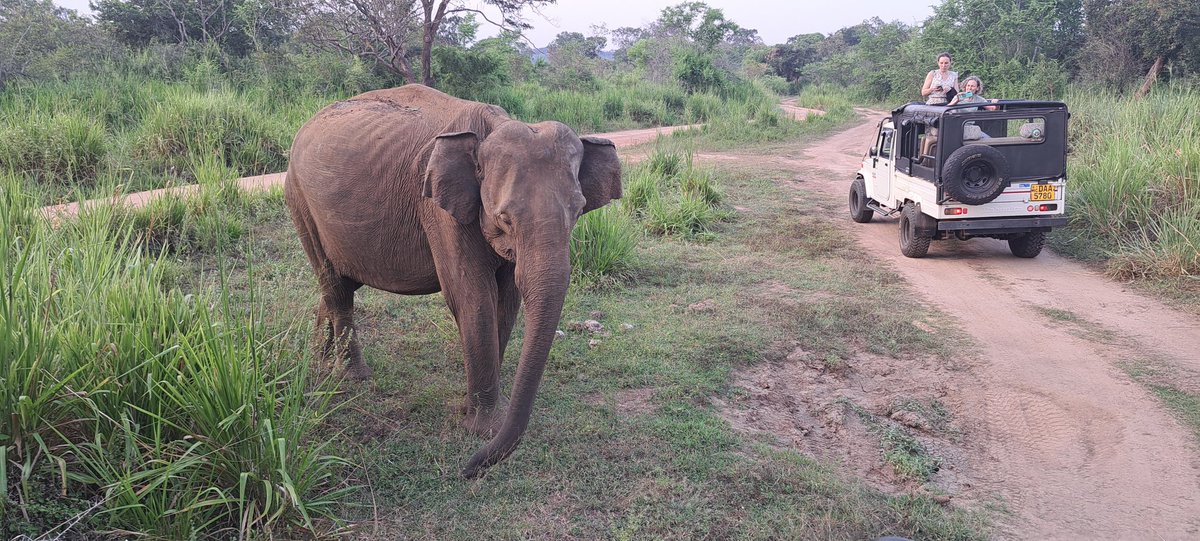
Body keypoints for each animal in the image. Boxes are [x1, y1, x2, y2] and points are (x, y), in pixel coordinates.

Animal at [283, 84, 622, 478]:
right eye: (505, 218)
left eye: (579, 210)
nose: (468, 470)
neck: (493, 126)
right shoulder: (437, 207)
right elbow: (473, 297)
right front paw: (483, 428)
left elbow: (506, 302)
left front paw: (476, 413)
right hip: (299, 199)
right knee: (335, 285)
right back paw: (353, 376)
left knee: (340, 283)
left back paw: (320, 361)